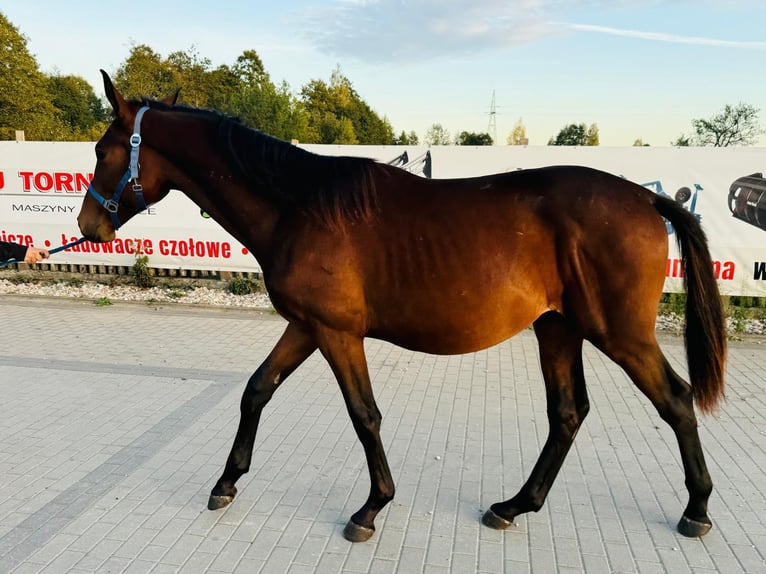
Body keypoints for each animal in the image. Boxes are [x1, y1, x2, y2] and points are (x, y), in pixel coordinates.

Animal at [79, 72, 732, 544]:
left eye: (103, 150)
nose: (88, 226)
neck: (300, 206)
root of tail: (646, 200)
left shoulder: (336, 333)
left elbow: (363, 415)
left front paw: (371, 508)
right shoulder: (308, 327)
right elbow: (257, 390)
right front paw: (227, 481)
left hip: (619, 333)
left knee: (675, 402)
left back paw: (697, 508)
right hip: (557, 328)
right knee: (568, 414)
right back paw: (515, 505)